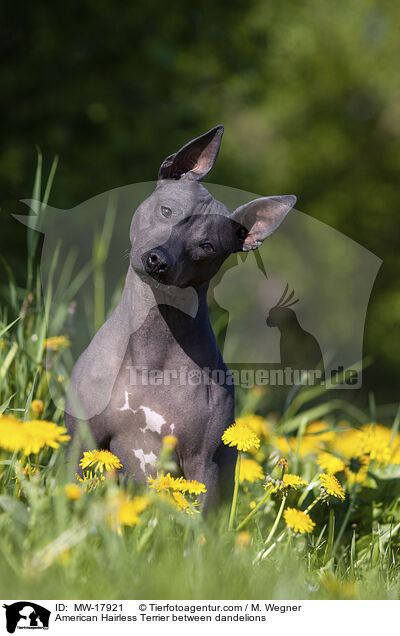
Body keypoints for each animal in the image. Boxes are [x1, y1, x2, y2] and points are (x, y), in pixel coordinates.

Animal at [65, 125, 296, 512]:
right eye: (166, 210)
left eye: (207, 246)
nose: (159, 260)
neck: (152, 348)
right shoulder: (82, 439)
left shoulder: (203, 462)